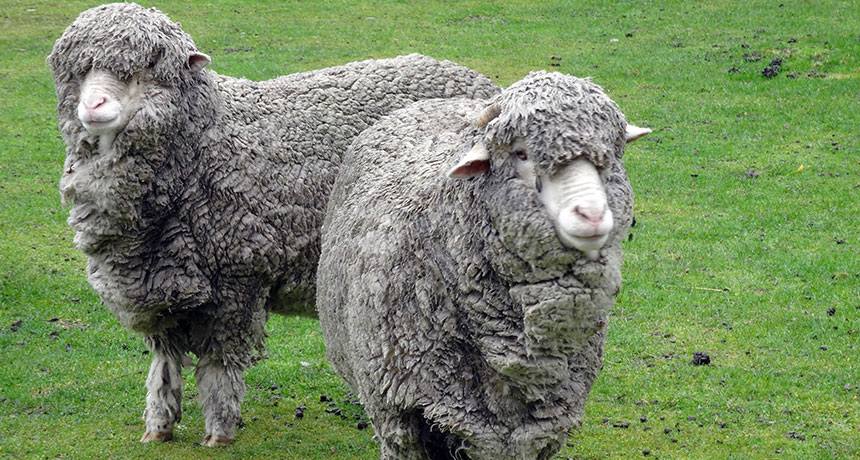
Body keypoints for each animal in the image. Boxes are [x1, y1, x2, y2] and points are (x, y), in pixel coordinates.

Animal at [46, 2, 499, 446]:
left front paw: (219, 432)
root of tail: (475, 80)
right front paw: (158, 426)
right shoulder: (160, 285)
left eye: (147, 68)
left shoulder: (237, 280)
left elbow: (219, 363)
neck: (207, 142)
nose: (93, 107)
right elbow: (164, 365)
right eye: (78, 70)